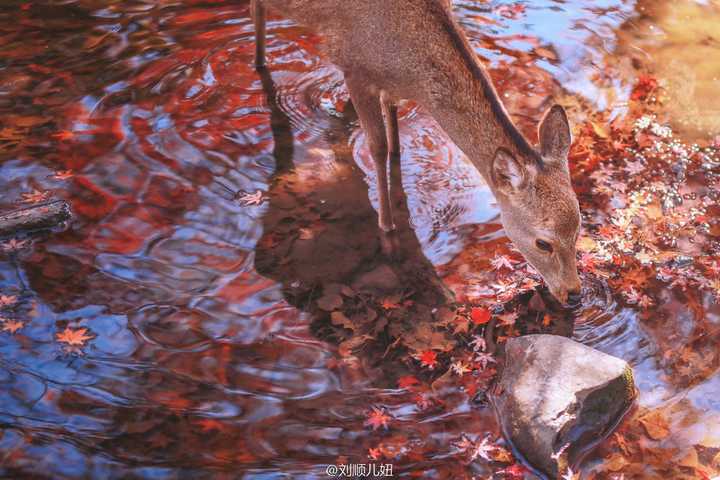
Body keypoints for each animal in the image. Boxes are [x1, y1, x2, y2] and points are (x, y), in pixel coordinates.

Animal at [250, 0, 584, 306]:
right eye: (543, 243)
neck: (410, 71)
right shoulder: (351, 66)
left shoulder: (389, 88)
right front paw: (387, 230)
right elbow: (377, 147)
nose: (574, 294)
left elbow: (395, 141)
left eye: (578, 228)